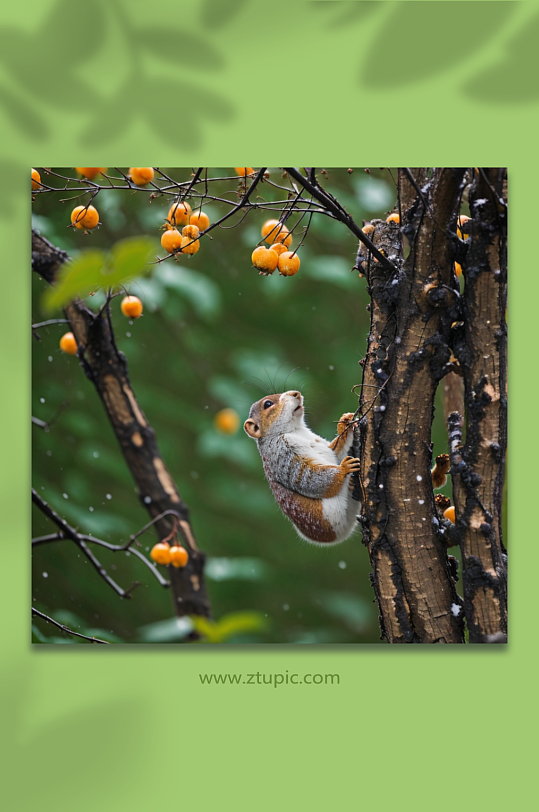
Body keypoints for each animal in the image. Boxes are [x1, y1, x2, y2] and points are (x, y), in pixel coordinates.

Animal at [246, 388, 362, 544]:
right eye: (267, 404)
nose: (296, 393)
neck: (297, 430)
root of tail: (337, 536)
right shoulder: (282, 454)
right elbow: (308, 477)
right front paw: (344, 468)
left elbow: (335, 453)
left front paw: (344, 423)